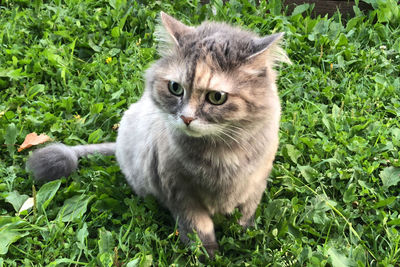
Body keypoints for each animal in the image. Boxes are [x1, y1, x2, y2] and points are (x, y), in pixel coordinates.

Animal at [28, 11, 290, 258]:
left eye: (217, 97)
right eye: (175, 88)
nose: (186, 118)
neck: (222, 151)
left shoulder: (255, 186)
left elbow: (245, 218)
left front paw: (246, 237)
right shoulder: (180, 191)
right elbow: (198, 229)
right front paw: (207, 255)